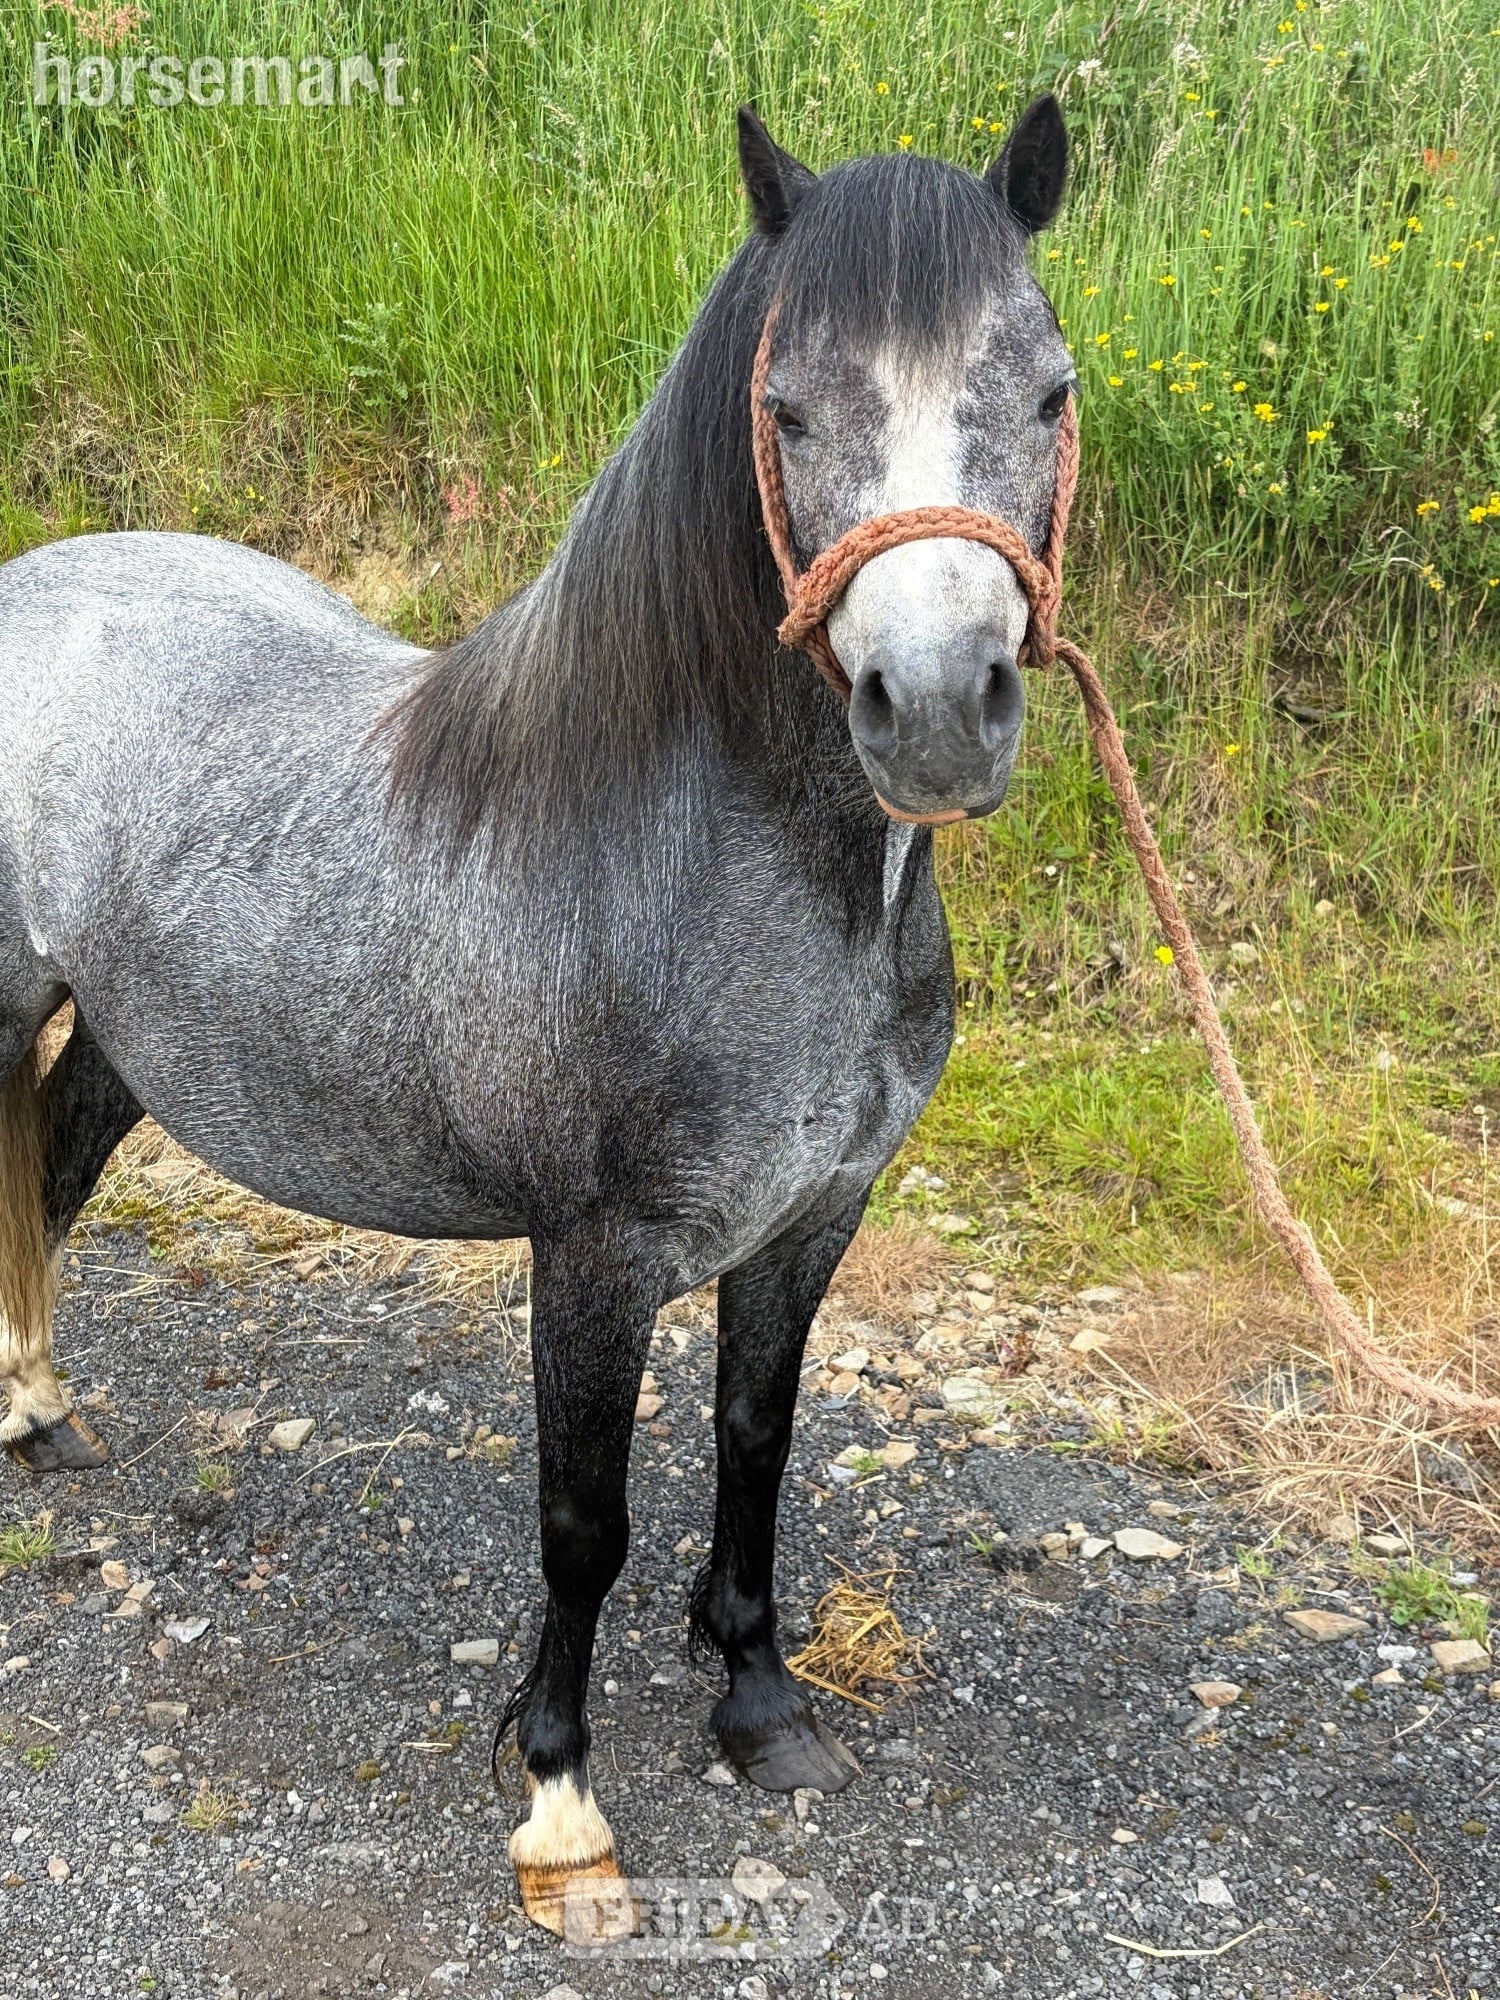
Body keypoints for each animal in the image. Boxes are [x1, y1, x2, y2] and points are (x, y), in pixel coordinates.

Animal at [0, 97, 1074, 1931]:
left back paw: (40, 1410)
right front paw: (562, 1805)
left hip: (132, 1040)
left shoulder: (811, 1222)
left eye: (1054, 393)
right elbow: (585, 1521)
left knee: (55, 1165)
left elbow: (753, 1448)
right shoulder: (593, 1256)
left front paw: (762, 1709)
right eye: (788, 412)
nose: (936, 711)